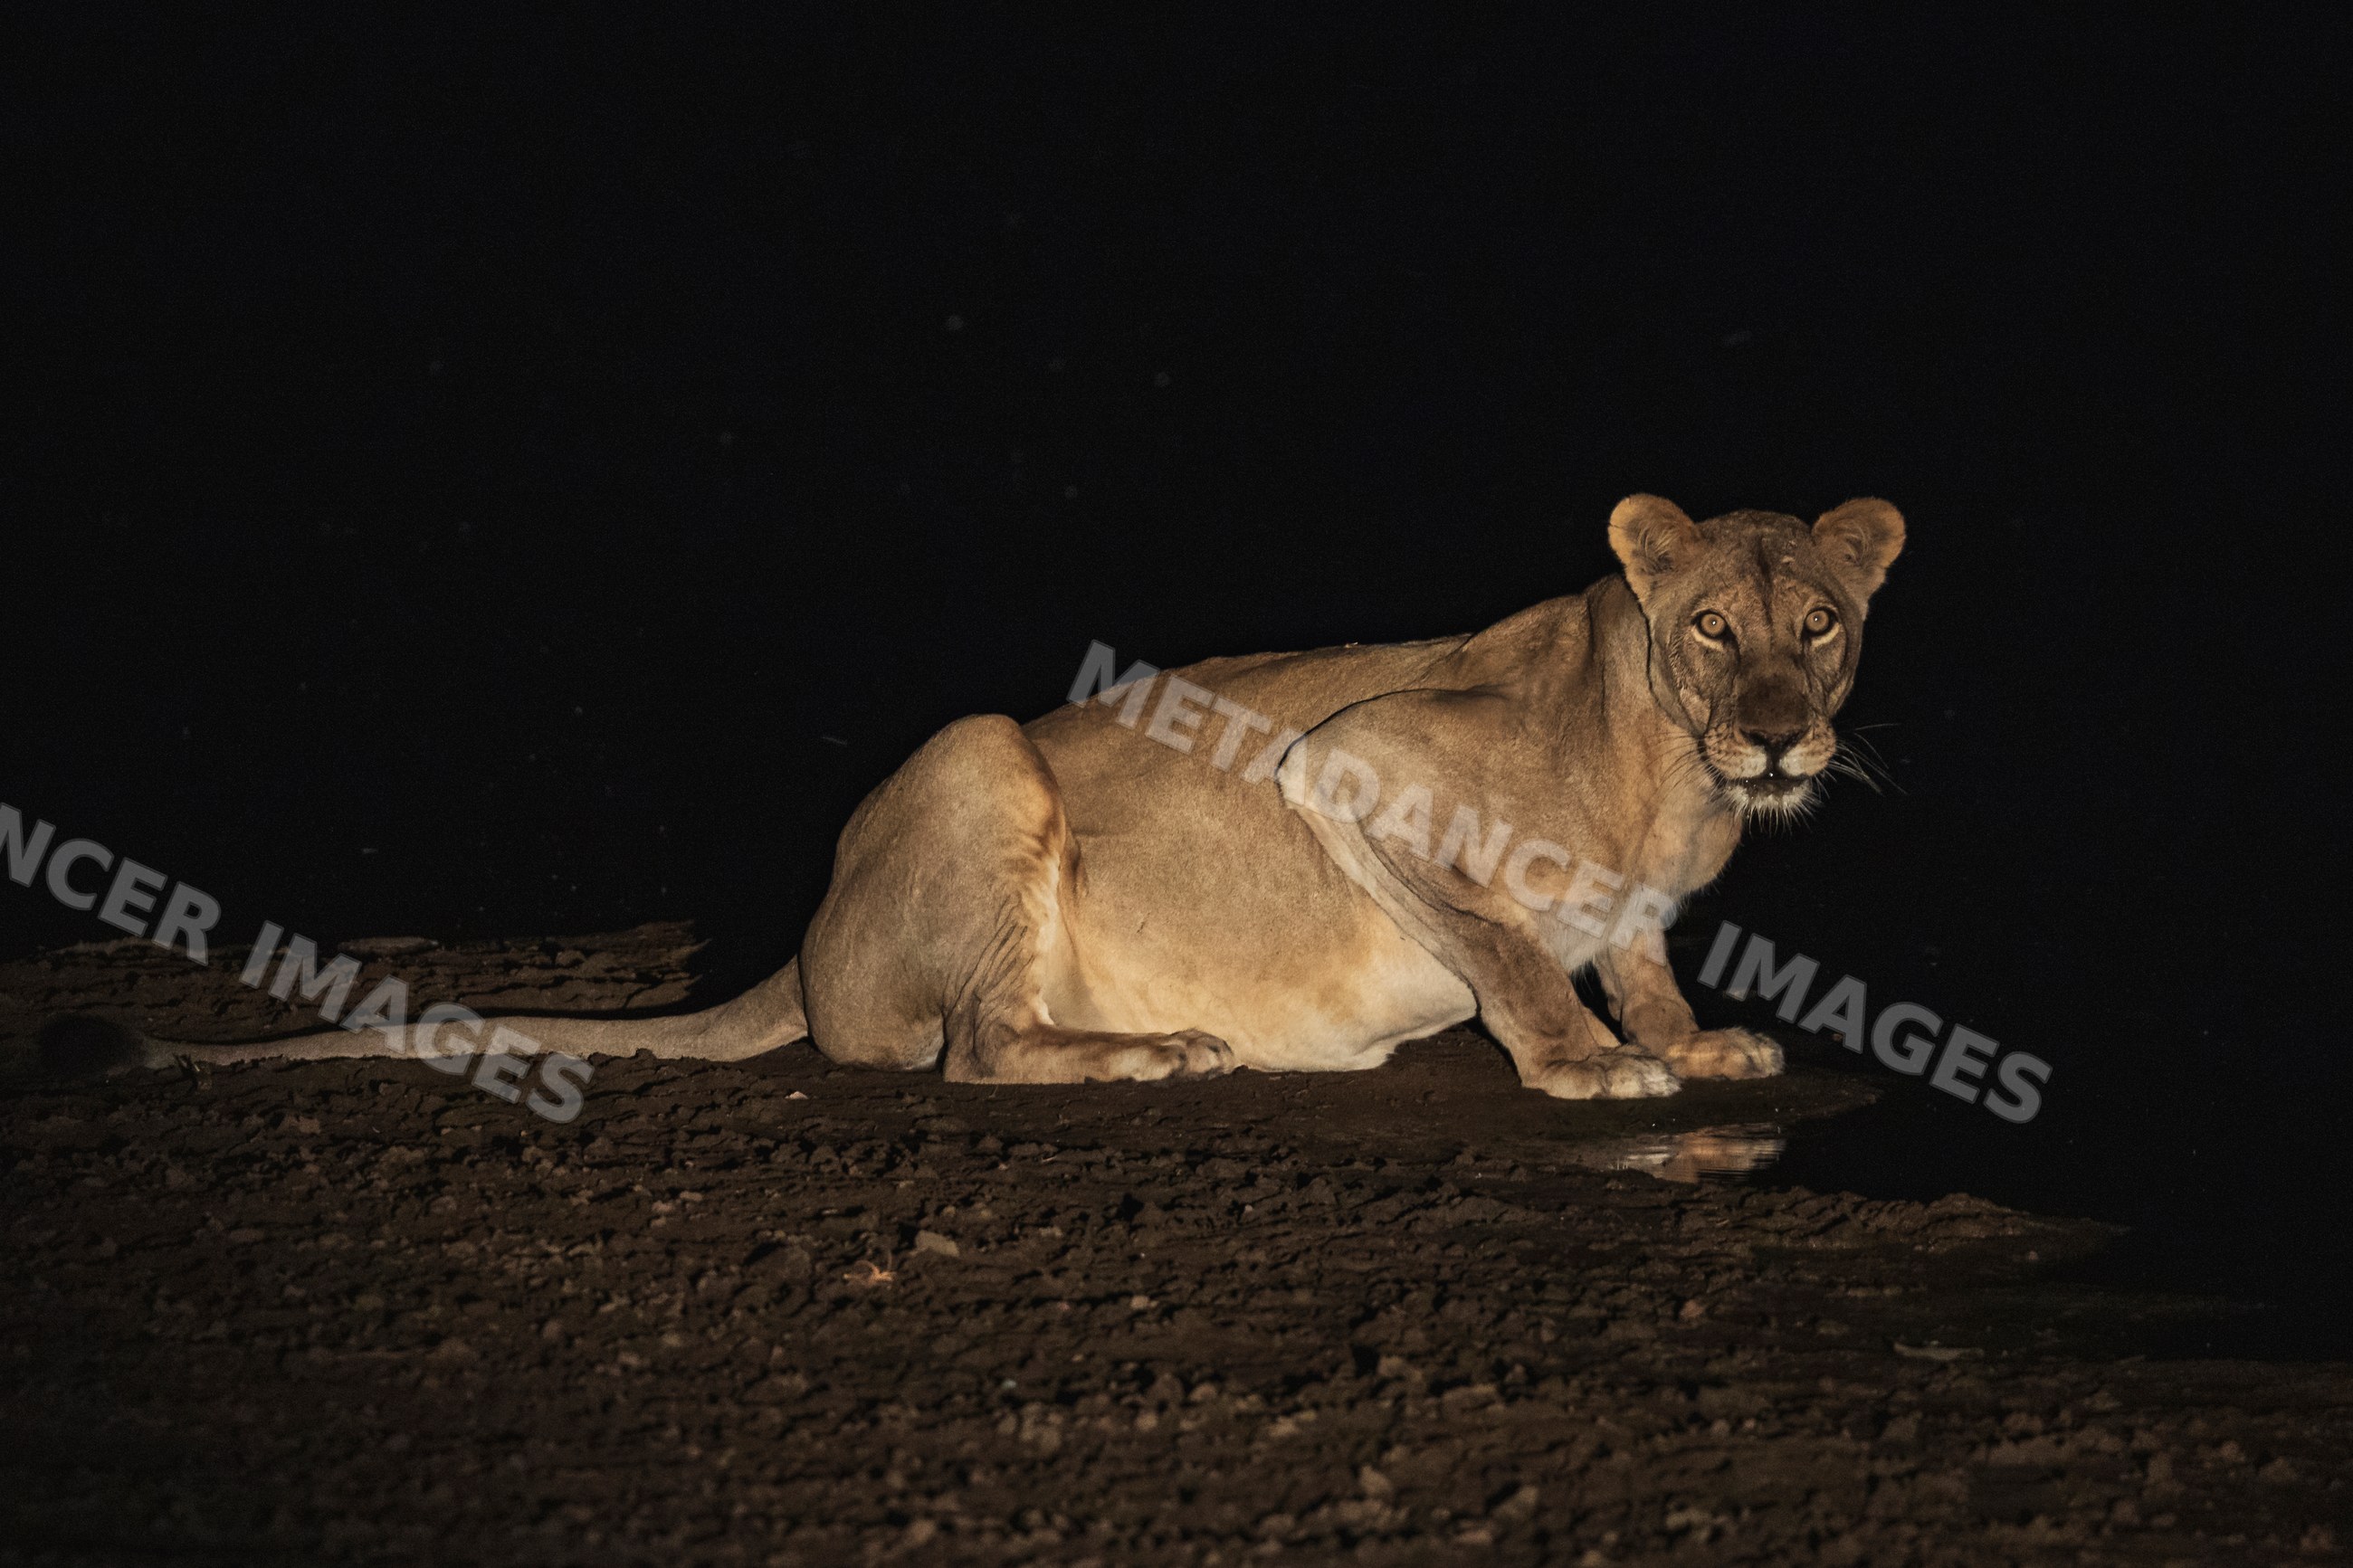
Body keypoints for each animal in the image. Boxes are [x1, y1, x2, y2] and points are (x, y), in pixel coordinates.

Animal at [53, 494, 1902, 1101]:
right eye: (1714, 628)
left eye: (1819, 624)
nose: (1780, 741)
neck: (1673, 776)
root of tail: (803, 946)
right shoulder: (1353, 762)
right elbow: (1517, 949)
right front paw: (1592, 1065)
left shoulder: (1645, 903)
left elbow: (1639, 956)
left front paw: (1692, 1039)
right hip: (979, 751)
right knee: (979, 1049)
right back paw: (1158, 1051)